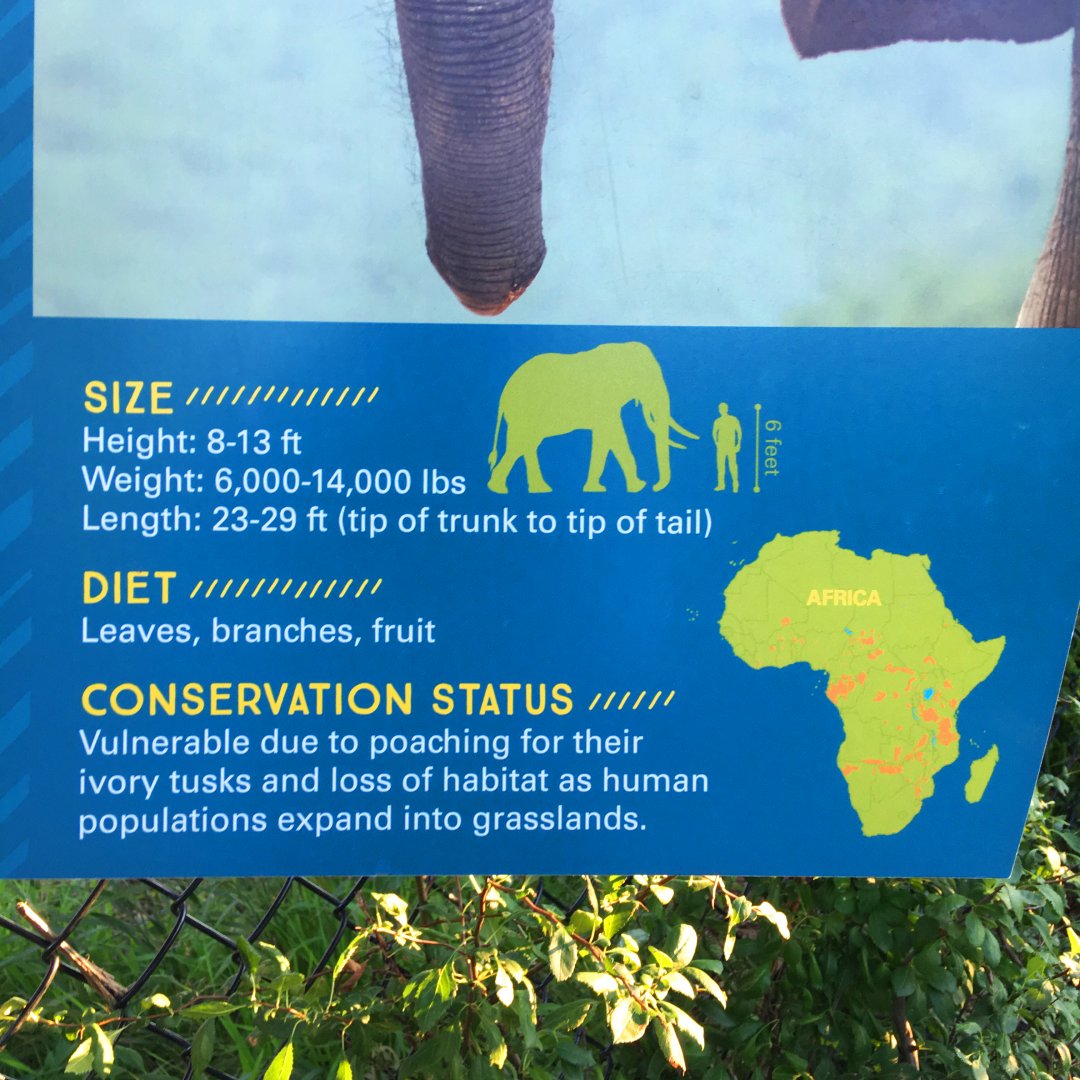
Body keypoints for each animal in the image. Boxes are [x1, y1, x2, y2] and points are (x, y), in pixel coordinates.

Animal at [486, 342, 698, 494]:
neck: (621, 348)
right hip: (522, 412)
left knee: (527, 445)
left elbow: (603, 438)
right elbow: (615, 434)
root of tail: (503, 395)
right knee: (520, 444)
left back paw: (537, 489)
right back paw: (500, 488)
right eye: (643, 375)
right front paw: (638, 487)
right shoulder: (603, 400)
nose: (655, 486)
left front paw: (595, 489)